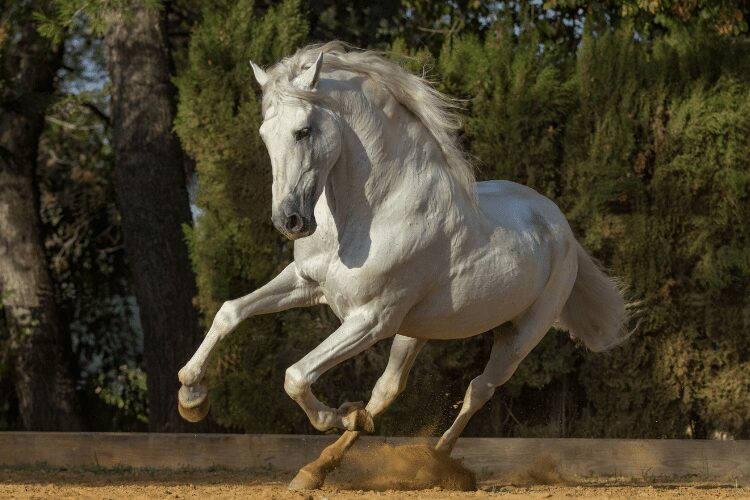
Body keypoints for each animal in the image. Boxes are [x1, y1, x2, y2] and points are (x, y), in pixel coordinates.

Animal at [179, 42, 632, 488]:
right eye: (265, 135)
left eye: (303, 131)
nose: (289, 221)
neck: (373, 213)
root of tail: (560, 226)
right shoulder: (306, 283)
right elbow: (230, 312)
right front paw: (191, 397)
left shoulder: (370, 319)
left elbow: (296, 376)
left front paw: (336, 413)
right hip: (416, 330)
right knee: (388, 390)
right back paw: (318, 467)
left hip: (520, 336)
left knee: (478, 390)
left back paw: (437, 460)